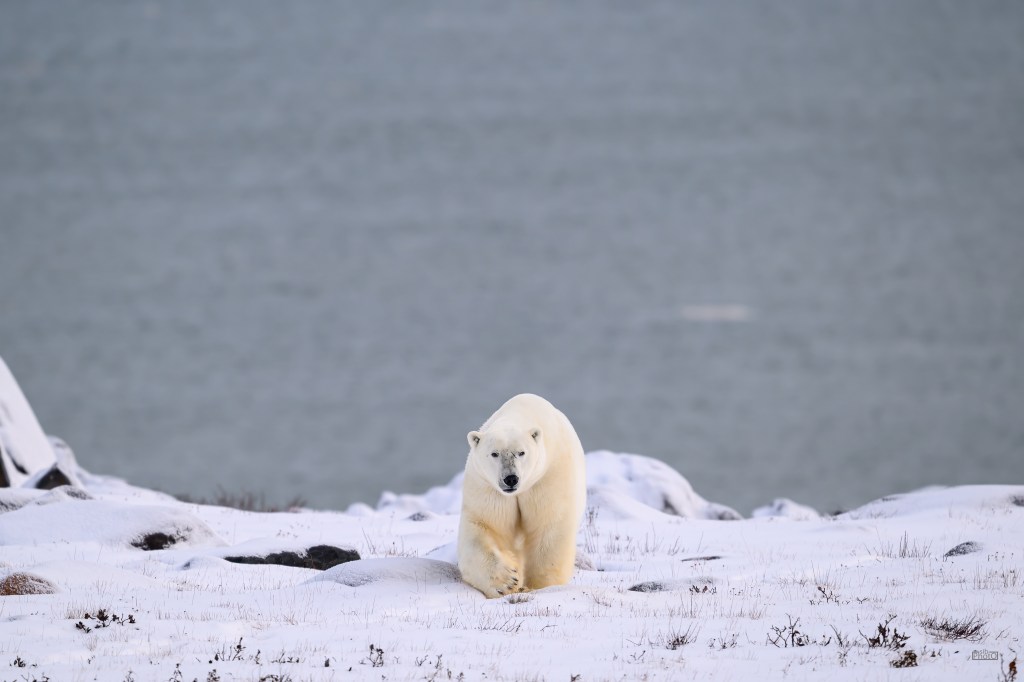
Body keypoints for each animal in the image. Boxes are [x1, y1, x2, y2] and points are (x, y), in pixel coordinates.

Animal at [457, 393, 586, 598]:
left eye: (521, 452)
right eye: (494, 453)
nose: (510, 479)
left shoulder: (547, 477)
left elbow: (549, 527)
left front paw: (538, 586)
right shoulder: (488, 488)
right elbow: (485, 526)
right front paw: (508, 581)